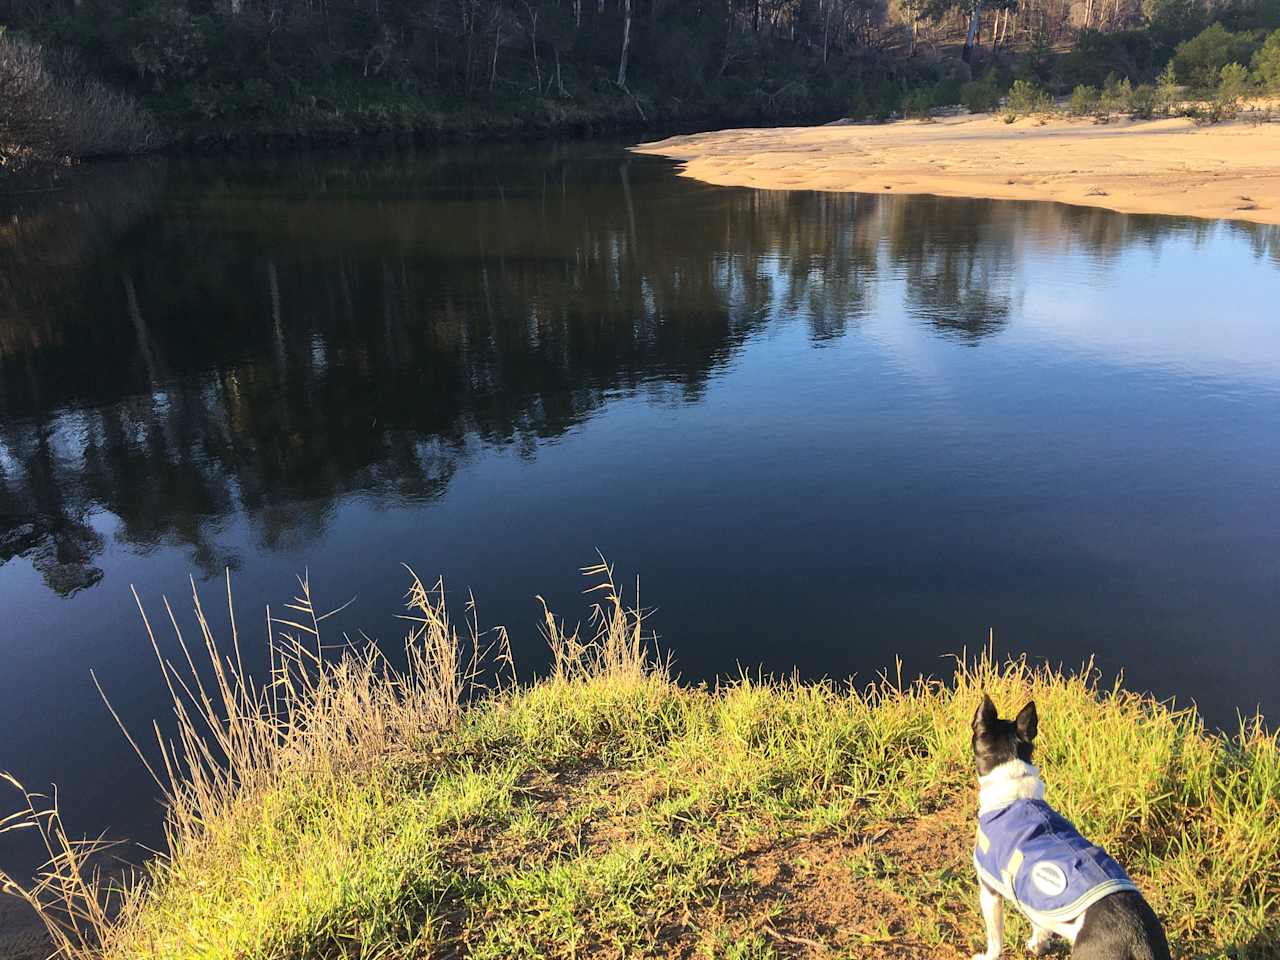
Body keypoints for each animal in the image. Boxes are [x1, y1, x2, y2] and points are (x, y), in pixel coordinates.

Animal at [967, 701, 1172, 960]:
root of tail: (1137, 938)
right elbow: (1040, 925)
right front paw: (1038, 946)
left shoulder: (990, 891)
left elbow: (995, 938)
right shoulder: (1035, 898)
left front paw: (988, 955)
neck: (1014, 787)